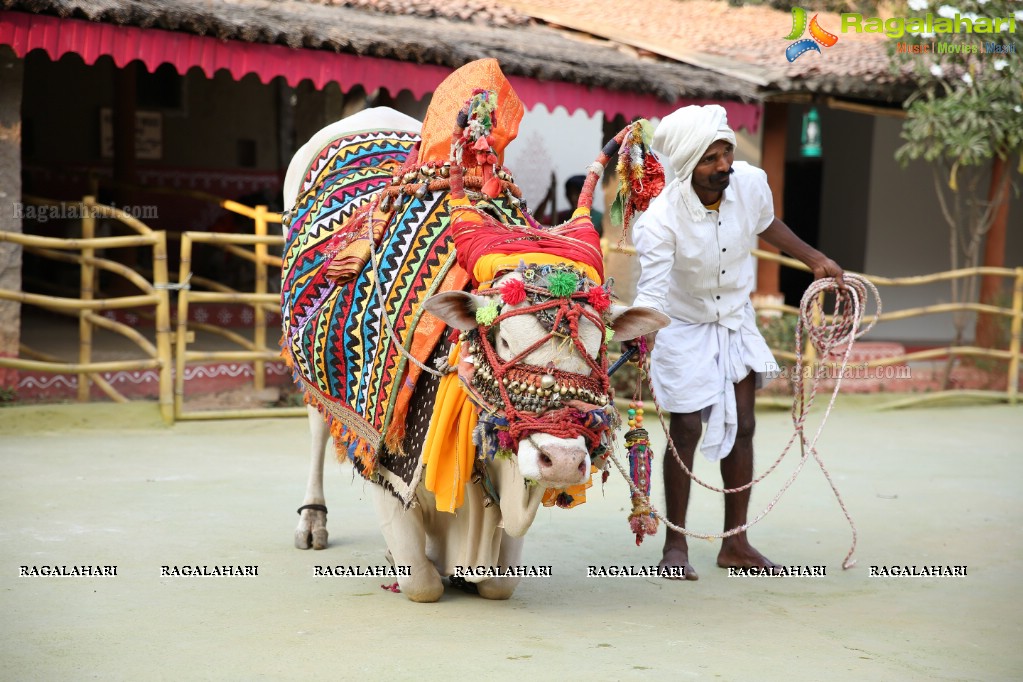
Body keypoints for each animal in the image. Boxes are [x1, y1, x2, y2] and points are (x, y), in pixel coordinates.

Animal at [278, 60, 671, 601]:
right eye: (501, 340)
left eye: (600, 347)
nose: (561, 461)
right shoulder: (386, 470)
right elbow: (421, 581)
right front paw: (409, 564)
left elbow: (497, 583)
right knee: (320, 426)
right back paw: (312, 520)